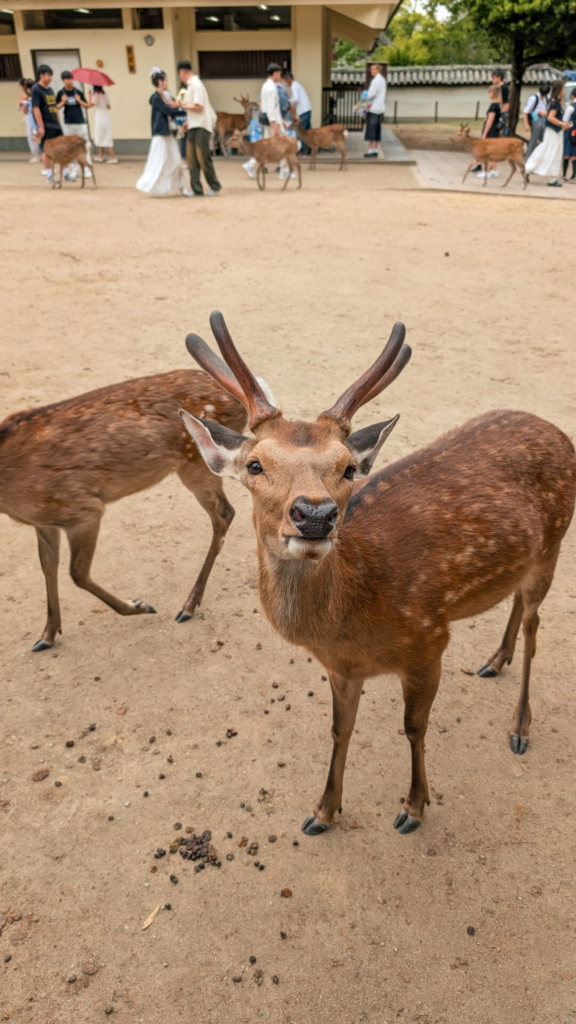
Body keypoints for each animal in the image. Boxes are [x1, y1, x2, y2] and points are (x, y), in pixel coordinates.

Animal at [0, 370, 248, 651]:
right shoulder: (44, 520)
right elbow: (48, 566)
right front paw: (47, 635)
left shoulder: (83, 509)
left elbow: (78, 573)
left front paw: (140, 605)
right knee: (226, 512)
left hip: (196, 465)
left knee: (224, 513)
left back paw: (188, 606)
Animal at [179, 311, 576, 839]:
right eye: (255, 464)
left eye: (349, 468)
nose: (315, 514)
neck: (352, 623)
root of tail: (555, 429)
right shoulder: (341, 667)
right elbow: (340, 728)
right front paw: (322, 812)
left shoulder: (430, 641)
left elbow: (414, 727)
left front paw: (413, 807)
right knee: (516, 605)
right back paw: (495, 659)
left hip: (554, 544)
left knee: (535, 624)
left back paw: (519, 727)